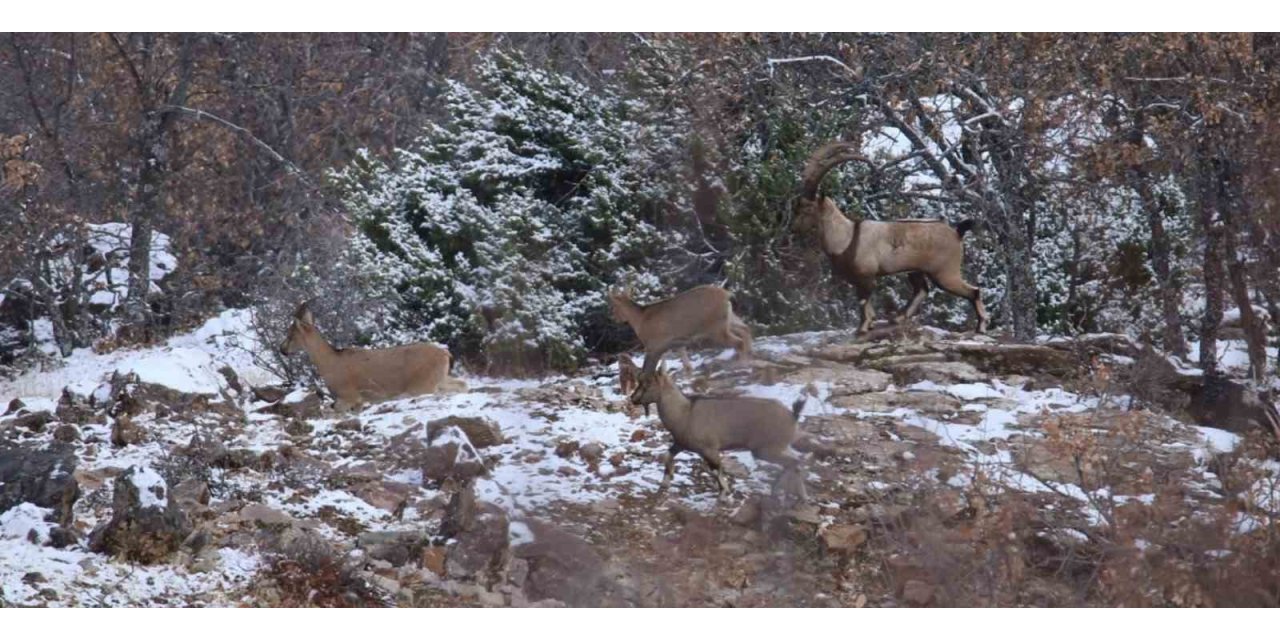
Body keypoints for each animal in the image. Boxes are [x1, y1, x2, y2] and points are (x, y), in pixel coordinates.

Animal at [277, 303, 468, 412]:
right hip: (440, 379)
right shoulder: (358, 403)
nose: (282, 349)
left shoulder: (348, 397)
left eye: (291, 334)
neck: (331, 362)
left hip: (423, 385)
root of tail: (446, 354)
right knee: (462, 384)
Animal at [606, 284, 747, 376]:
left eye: (613, 307)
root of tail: (727, 294)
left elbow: (649, 369)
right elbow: (684, 364)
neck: (640, 320)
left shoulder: (653, 344)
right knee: (745, 329)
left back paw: (742, 364)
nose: (614, 318)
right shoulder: (677, 341)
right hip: (728, 319)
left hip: (716, 327)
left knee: (739, 341)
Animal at [632, 366, 808, 499]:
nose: (633, 399)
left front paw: (724, 493)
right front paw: (665, 482)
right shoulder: (680, 443)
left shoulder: (709, 449)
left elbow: (717, 469)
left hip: (765, 449)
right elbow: (667, 456)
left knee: (793, 462)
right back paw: (800, 496)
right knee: (797, 462)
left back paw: (778, 490)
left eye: (648, 383)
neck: (685, 412)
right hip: (778, 447)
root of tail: (793, 415)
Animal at [788, 141, 988, 335]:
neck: (846, 237)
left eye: (807, 209)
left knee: (973, 291)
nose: (793, 228)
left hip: (945, 272)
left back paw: (981, 327)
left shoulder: (866, 276)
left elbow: (863, 301)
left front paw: (863, 328)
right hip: (916, 270)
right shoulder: (858, 279)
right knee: (922, 290)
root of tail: (957, 232)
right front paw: (869, 324)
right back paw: (898, 318)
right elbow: (865, 302)